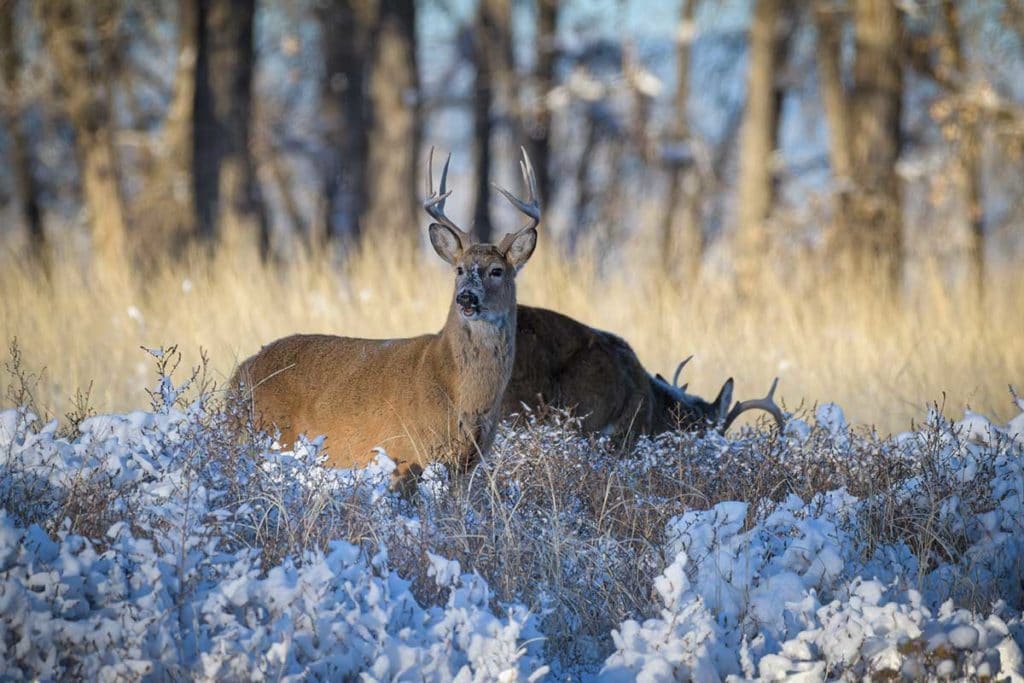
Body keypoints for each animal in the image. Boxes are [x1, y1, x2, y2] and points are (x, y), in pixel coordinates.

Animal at [230, 149, 536, 491]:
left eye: (496, 270)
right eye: (459, 269)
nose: (467, 297)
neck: (461, 392)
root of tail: (238, 376)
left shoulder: (465, 464)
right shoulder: (406, 453)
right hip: (270, 435)